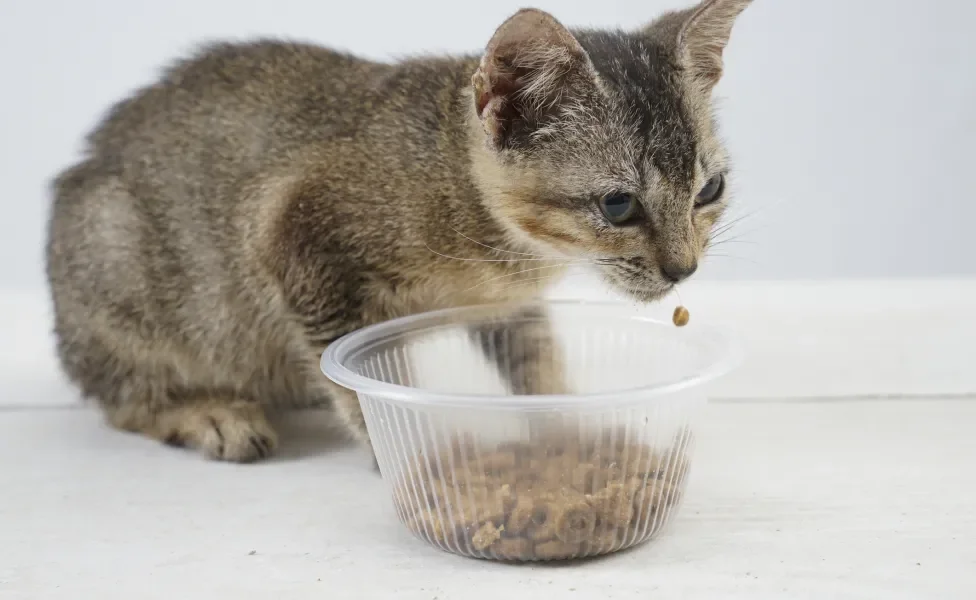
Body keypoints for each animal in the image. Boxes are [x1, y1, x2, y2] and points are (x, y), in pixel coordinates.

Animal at [45, 0, 756, 464]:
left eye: (709, 191)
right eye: (618, 205)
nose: (684, 267)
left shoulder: (507, 305)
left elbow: (537, 360)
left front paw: (564, 429)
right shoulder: (291, 230)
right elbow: (353, 381)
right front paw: (410, 451)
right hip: (114, 250)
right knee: (121, 394)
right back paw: (208, 411)